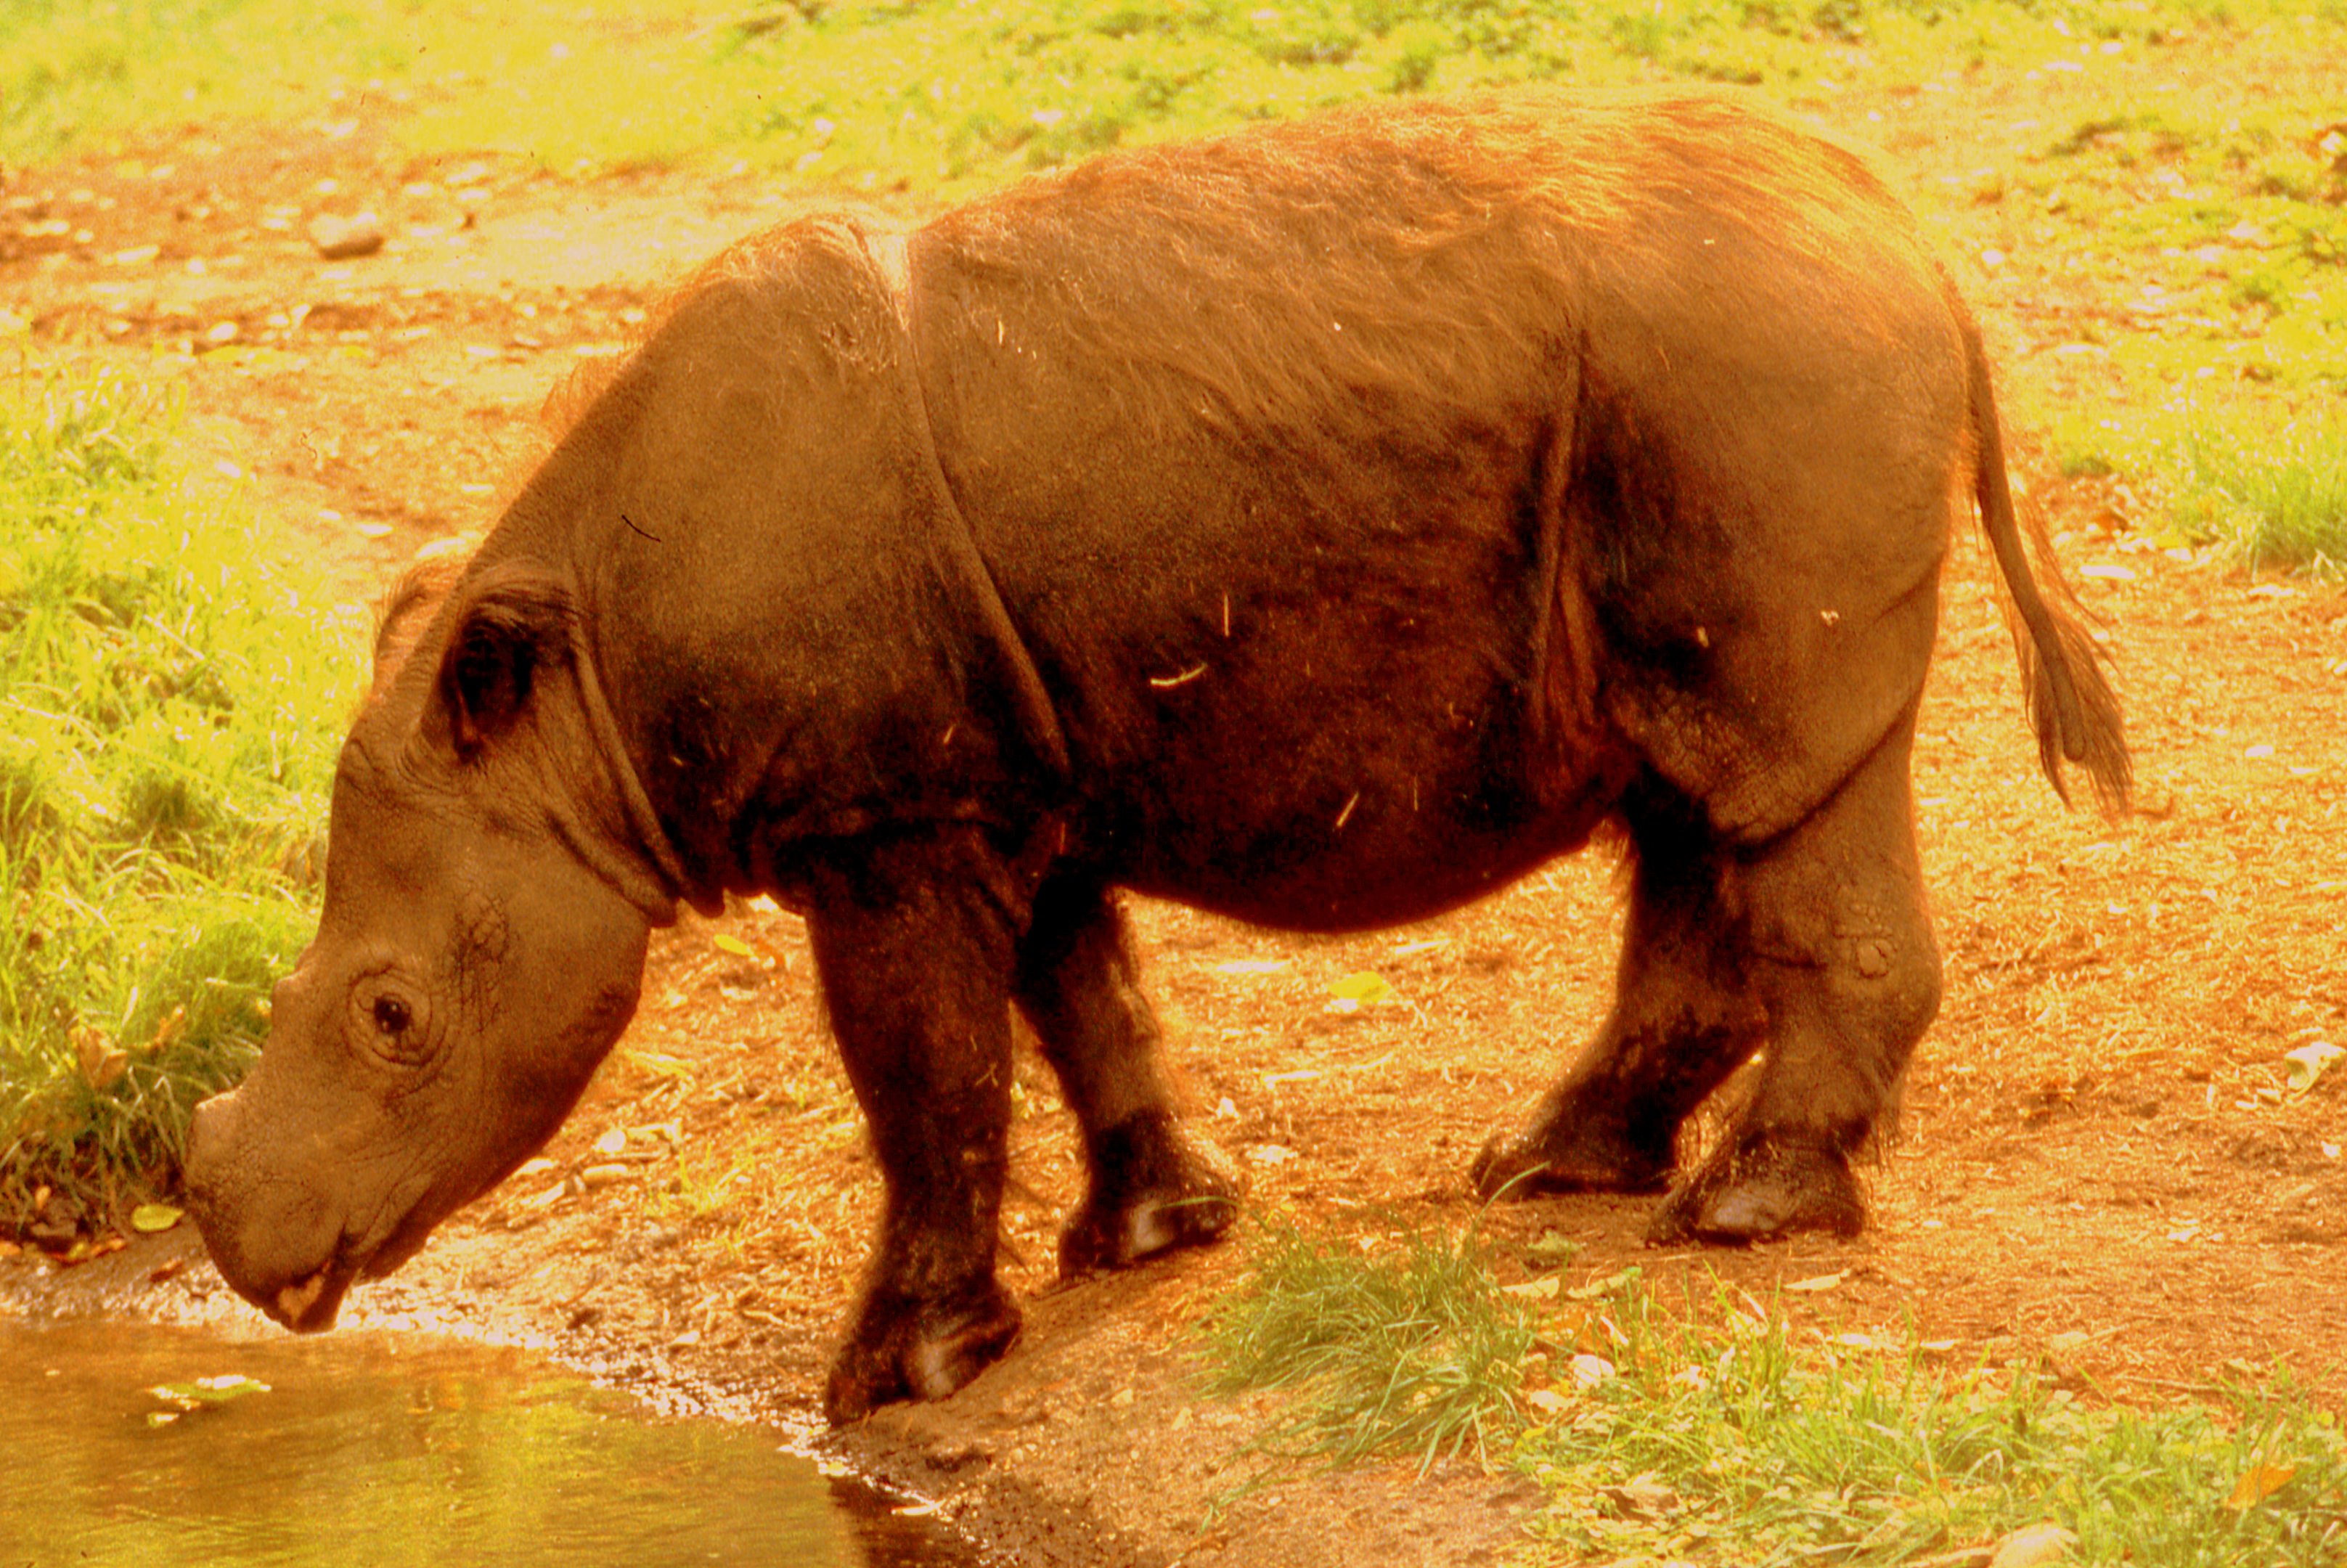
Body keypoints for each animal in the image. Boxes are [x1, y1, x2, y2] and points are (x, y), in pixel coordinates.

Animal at [187, 86, 2127, 1421]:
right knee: (1686, 798)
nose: (237, 1242)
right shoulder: (997, 777)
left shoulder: (885, 811)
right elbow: (1076, 1005)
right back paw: (1547, 1171)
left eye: (389, 1016)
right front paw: (1150, 1238)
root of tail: (1922, 252)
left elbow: (922, 1080)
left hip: (1754, 385)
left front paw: (891, 1376)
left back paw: (1736, 1214)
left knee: (1772, 785)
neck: (577, 704)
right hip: (1695, 408)